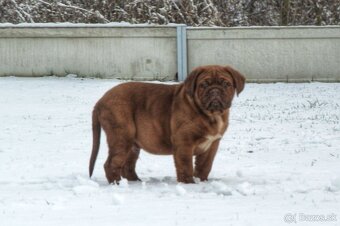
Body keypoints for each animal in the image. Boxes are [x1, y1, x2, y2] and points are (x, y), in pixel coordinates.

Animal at [89, 64, 246, 184]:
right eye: (203, 85)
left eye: (226, 84)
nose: (215, 91)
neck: (211, 115)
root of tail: (101, 100)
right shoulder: (184, 142)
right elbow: (185, 166)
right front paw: (189, 183)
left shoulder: (212, 144)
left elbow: (205, 166)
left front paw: (202, 181)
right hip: (121, 136)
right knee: (111, 164)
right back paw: (117, 183)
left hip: (132, 144)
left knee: (127, 165)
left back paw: (135, 182)